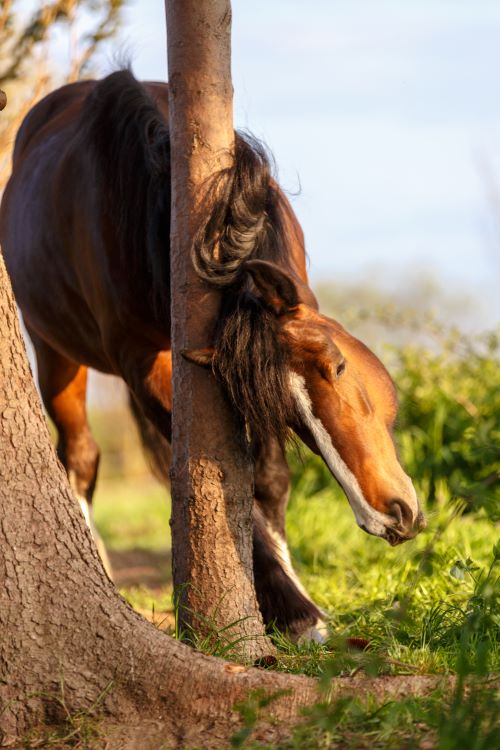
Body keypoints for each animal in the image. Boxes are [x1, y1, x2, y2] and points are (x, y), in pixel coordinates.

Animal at [0, 70, 425, 640]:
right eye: (335, 365)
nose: (390, 515)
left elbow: (268, 481)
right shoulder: (143, 364)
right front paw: (295, 611)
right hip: (53, 351)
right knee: (81, 455)